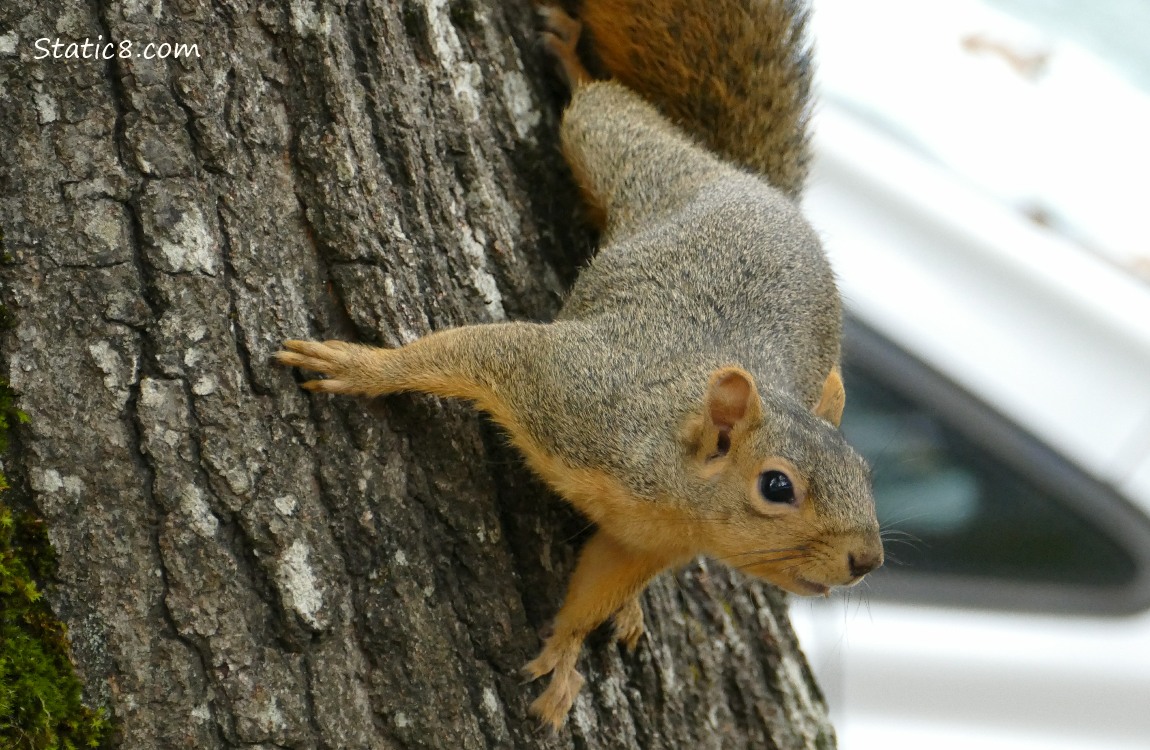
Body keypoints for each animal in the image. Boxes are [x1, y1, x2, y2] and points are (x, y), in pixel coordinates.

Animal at [273, 0, 883, 731]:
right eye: (777, 487)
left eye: (865, 472)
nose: (866, 559)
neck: (667, 487)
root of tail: (761, 187)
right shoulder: (567, 390)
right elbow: (478, 350)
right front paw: (366, 367)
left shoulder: (641, 542)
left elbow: (597, 585)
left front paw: (567, 649)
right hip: (630, 157)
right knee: (600, 110)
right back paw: (573, 61)